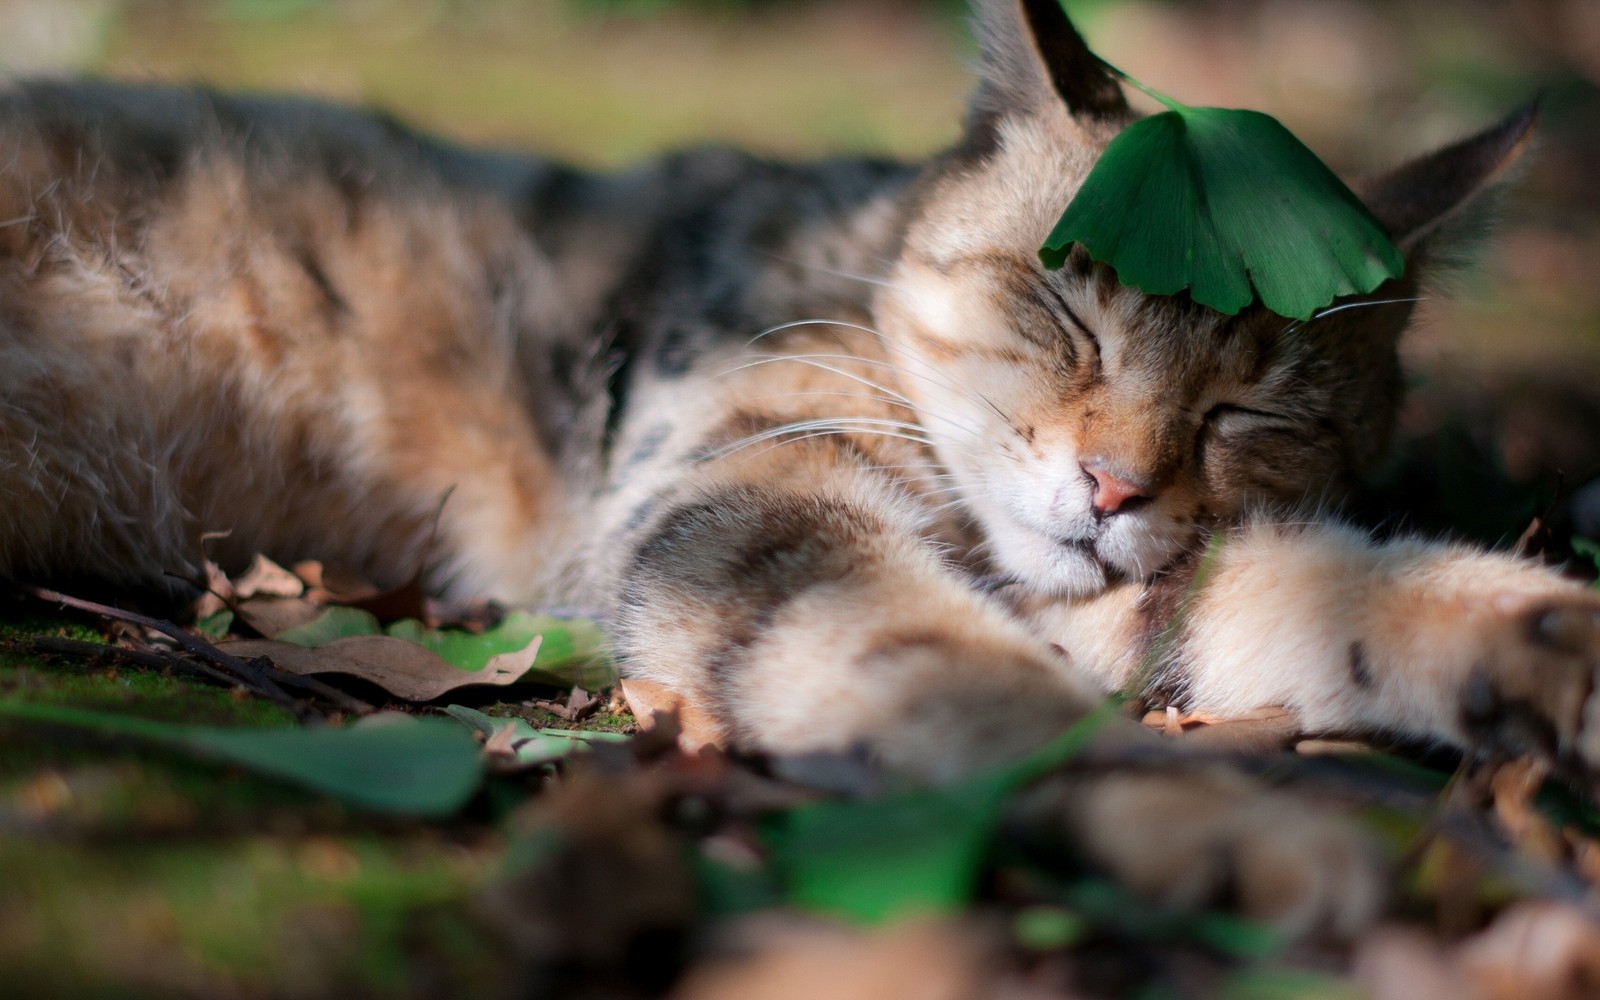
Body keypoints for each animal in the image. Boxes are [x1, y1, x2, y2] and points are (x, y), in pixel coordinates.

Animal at [3, 0, 1600, 934]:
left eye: (1251, 407)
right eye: (1067, 308)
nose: (1112, 489)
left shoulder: (1129, 575)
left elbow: (1324, 589)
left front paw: (1543, 642)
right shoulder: (759, 508)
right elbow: (967, 684)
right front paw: (1214, 820)